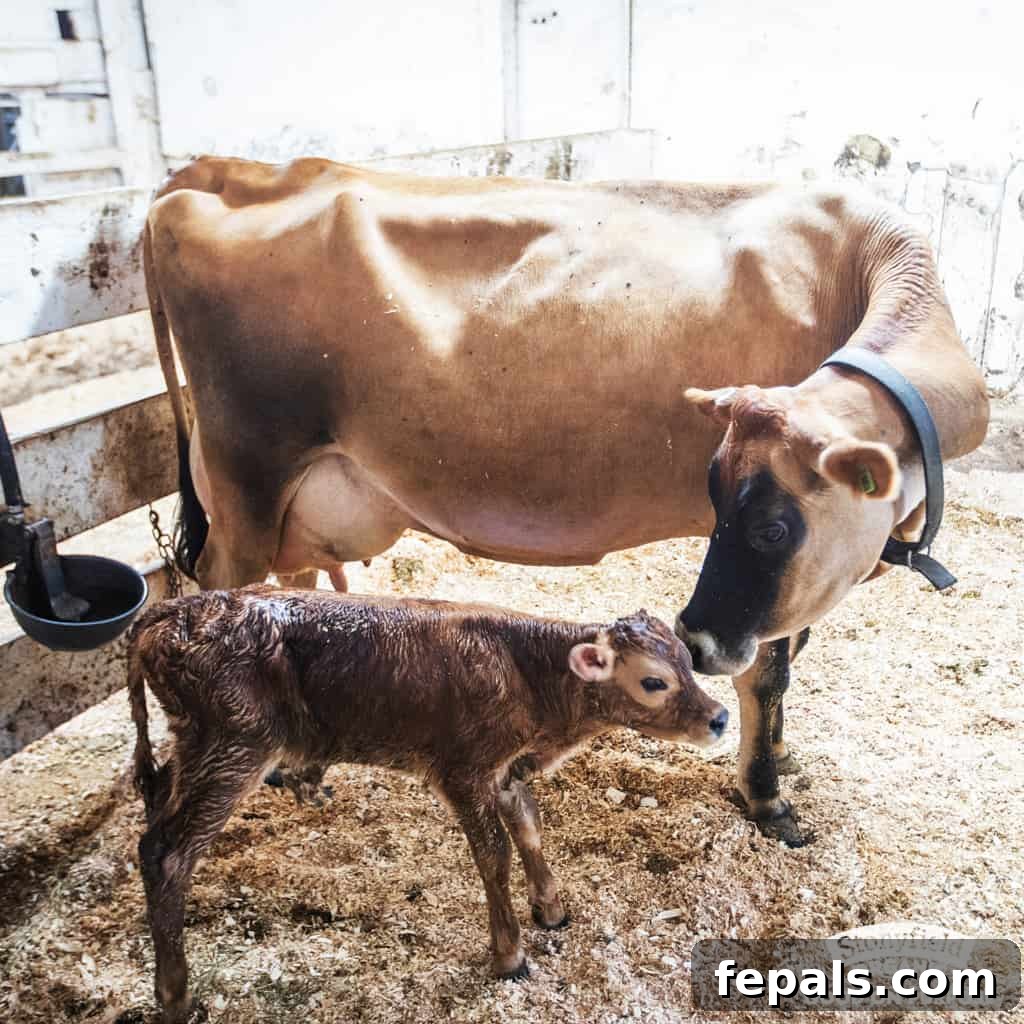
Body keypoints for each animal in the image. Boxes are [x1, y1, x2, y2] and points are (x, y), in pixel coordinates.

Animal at [128, 588, 727, 1021]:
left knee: (154, 817)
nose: (719, 717)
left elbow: (528, 826)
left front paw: (551, 909)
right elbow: (493, 855)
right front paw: (510, 956)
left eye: (688, 662)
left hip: (194, 750)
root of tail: (172, 611)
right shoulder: (462, 771)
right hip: (234, 747)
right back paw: (176, 997)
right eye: (654, 681)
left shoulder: (502, 771)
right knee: (168, 854)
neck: (526, 675)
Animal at [143, 157, 990, 845]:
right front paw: (766, 797)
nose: (696, 641)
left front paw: (780, 755)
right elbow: (769, 673)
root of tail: (220, 173)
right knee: (214, 588)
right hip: (247, 475)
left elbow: (789, 654)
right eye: (750, 517)